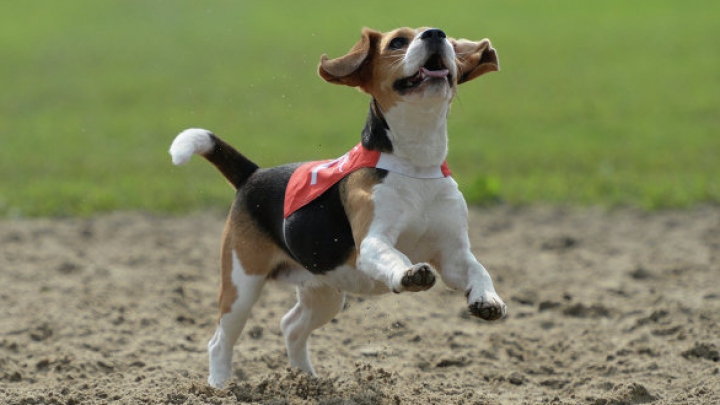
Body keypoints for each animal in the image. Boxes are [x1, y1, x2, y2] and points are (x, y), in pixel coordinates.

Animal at [169, 26, 506, 386]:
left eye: (448, 40)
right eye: (398, 42)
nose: (435, 34)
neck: (416, 163)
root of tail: (253, 174)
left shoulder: (453, 253)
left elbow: (478, 269)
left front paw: (488, 300)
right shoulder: (372, 242)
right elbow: (394, 256)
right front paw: (409, 273)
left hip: (324, 292)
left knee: (291, 326)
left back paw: (306, 380)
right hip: (241, 285)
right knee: (220, 341)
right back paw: (220, 387)